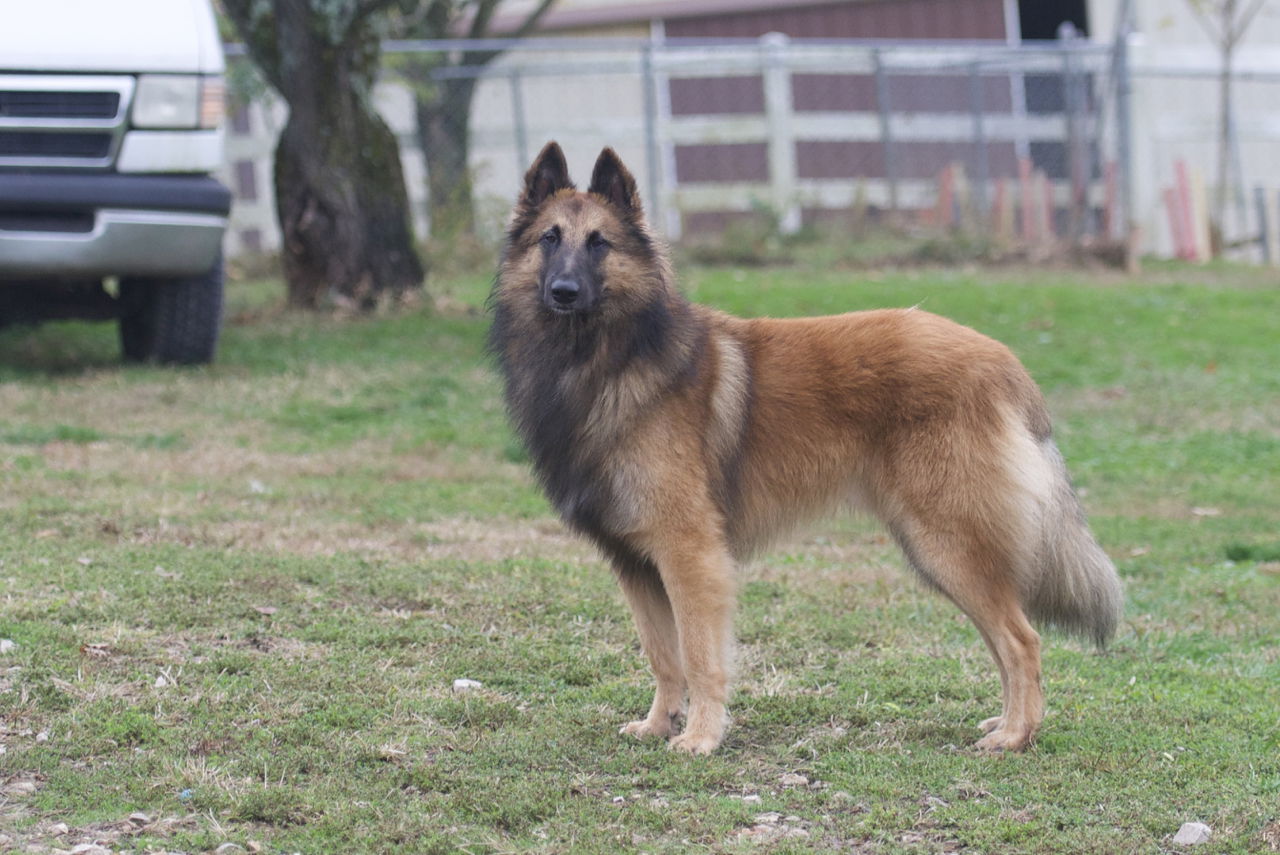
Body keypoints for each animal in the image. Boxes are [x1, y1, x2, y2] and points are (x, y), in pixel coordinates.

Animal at [488, 143, 1121, 757]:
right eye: (550, 239)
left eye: (600, 243)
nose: (563, 291)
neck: (606, 360)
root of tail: (1005, 362)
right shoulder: (636, 563)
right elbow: (663, 656)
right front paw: (658, 725)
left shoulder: (690, 555)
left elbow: (700, 656)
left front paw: (700, 738)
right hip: (941, 550)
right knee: (1004, 637)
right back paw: (1006, 724)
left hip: (948, 542)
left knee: (1022, 638)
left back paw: (1017, 736)